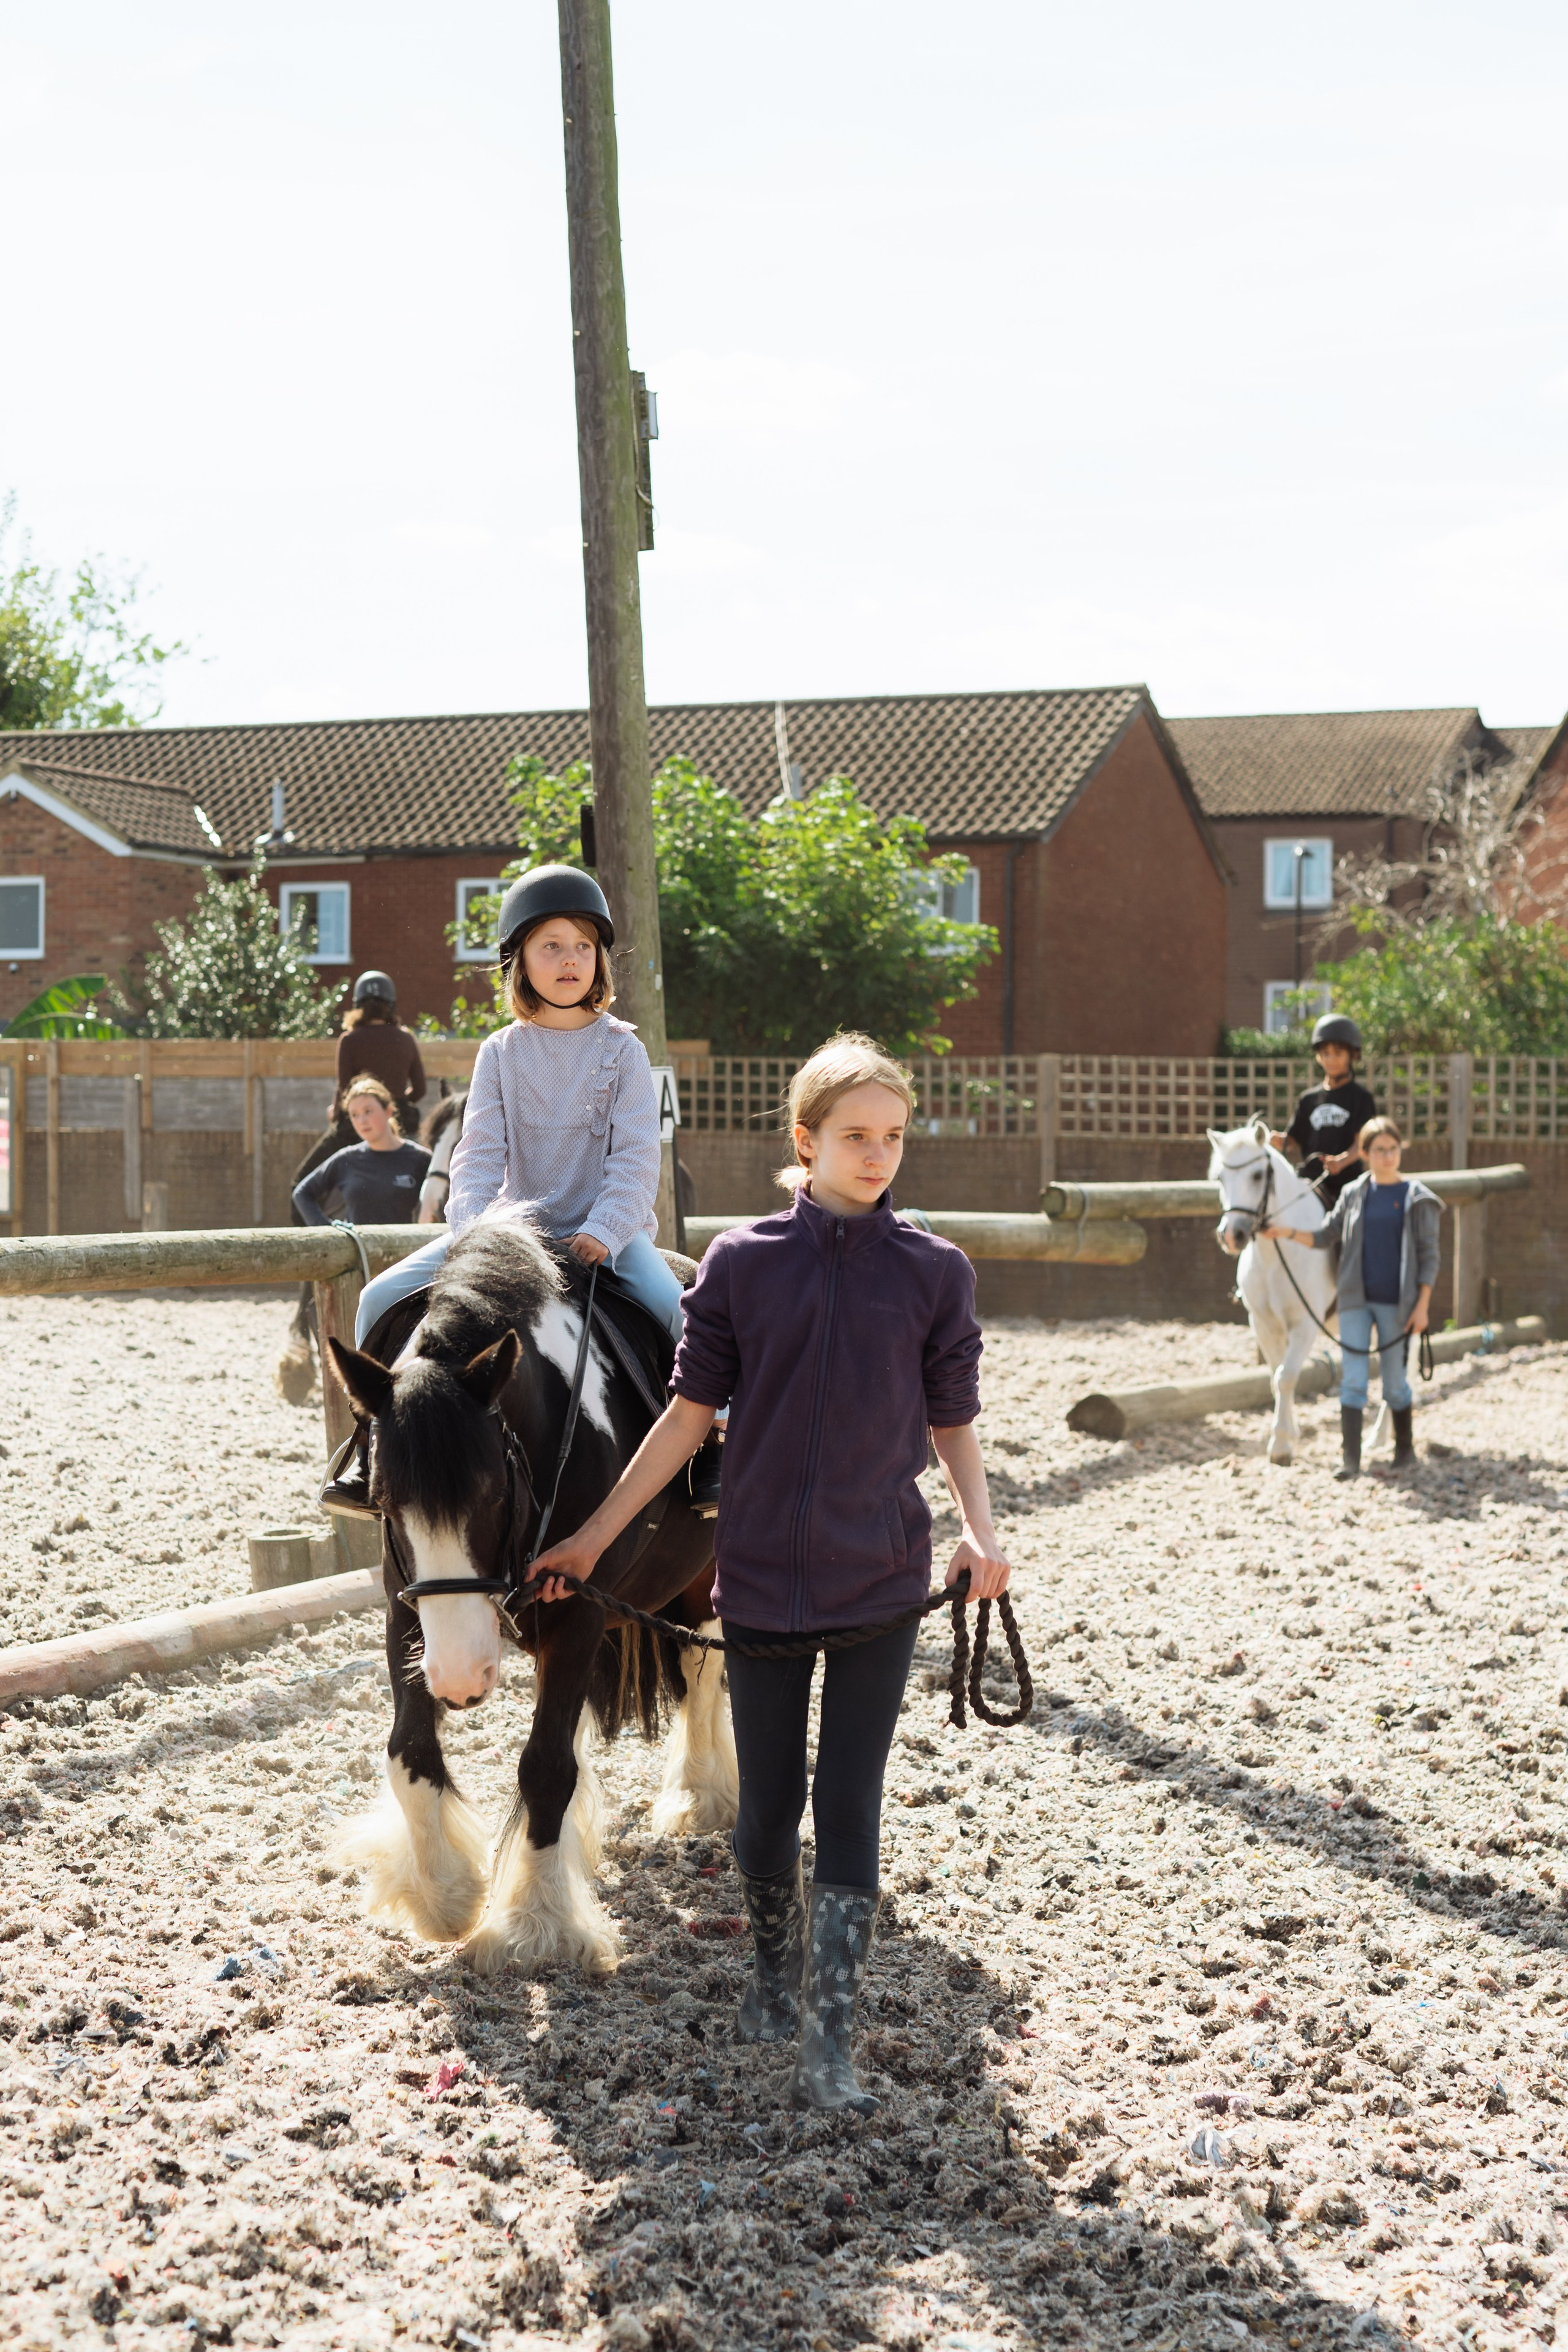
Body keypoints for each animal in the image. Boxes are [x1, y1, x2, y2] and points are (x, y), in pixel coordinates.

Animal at [326, 1215, 737, 1976]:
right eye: (386, 1502)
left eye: (491, 1493)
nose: (460, 1678)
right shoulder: (407, 1605)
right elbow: (408, 1751)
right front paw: (444, 1893)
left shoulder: (580, 1607)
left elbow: (545, 1766)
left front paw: (535, 1926)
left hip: (704, 1578)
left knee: (701, 1674)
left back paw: (699, 1798)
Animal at [1209, 1118, 1339, 1465]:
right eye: (1221, 1178)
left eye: (1257, 1175)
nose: (1232, 1235)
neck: (1275, 1254)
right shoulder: (1263, 1323)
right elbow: (1274, 1376)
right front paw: (1289, 1433)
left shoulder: (1305, 1325)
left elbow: (1287, 1376)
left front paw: (1280, 1445)